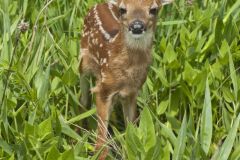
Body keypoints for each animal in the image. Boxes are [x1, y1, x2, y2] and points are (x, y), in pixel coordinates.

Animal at [80, 0, 172, 158]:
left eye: (153, 9)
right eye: (123, 9)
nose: (137, 26)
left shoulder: (133, 91)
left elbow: (132, 131)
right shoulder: (103, 88)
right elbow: (101, 144)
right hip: (82, 60)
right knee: (83, 99)